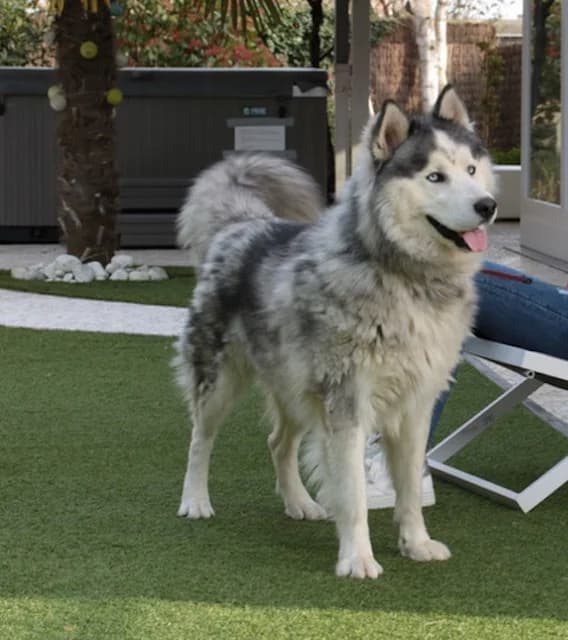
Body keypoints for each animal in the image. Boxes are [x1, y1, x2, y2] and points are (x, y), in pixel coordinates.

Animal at [173, 85, 497, 578]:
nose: (487, 206)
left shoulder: (415, 406)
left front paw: (416, 543)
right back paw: (195, 500)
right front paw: (357, 558)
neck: (407, 280)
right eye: (435, 177)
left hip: (296, 391)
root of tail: (243, 224)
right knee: (199, 439)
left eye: (472, 170)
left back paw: (299, 503)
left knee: (278, 442)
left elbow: (409, 488)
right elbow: (353, 494)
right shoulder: (347, 406)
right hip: (220, 381)